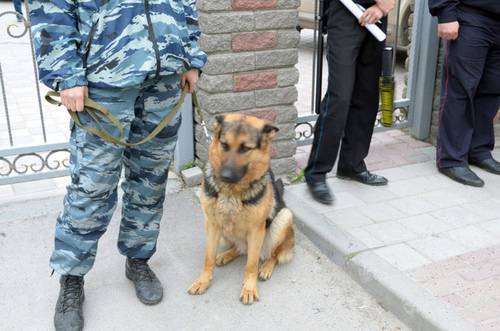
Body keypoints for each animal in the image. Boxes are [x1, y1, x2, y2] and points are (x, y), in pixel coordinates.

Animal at [189, 113, 294, 306]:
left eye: (245, 148)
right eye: (224, 145)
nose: (225, 176)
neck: (231, 192)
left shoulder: (256, 230)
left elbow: (251, 264)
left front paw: (249, 289)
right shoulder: (212, 224)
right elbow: (208, 258)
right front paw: (203, 281)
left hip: (284, 217)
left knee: (274, 254)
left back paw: (266, 267)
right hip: (224, 231)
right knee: (241, 248)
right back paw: (226, 255)